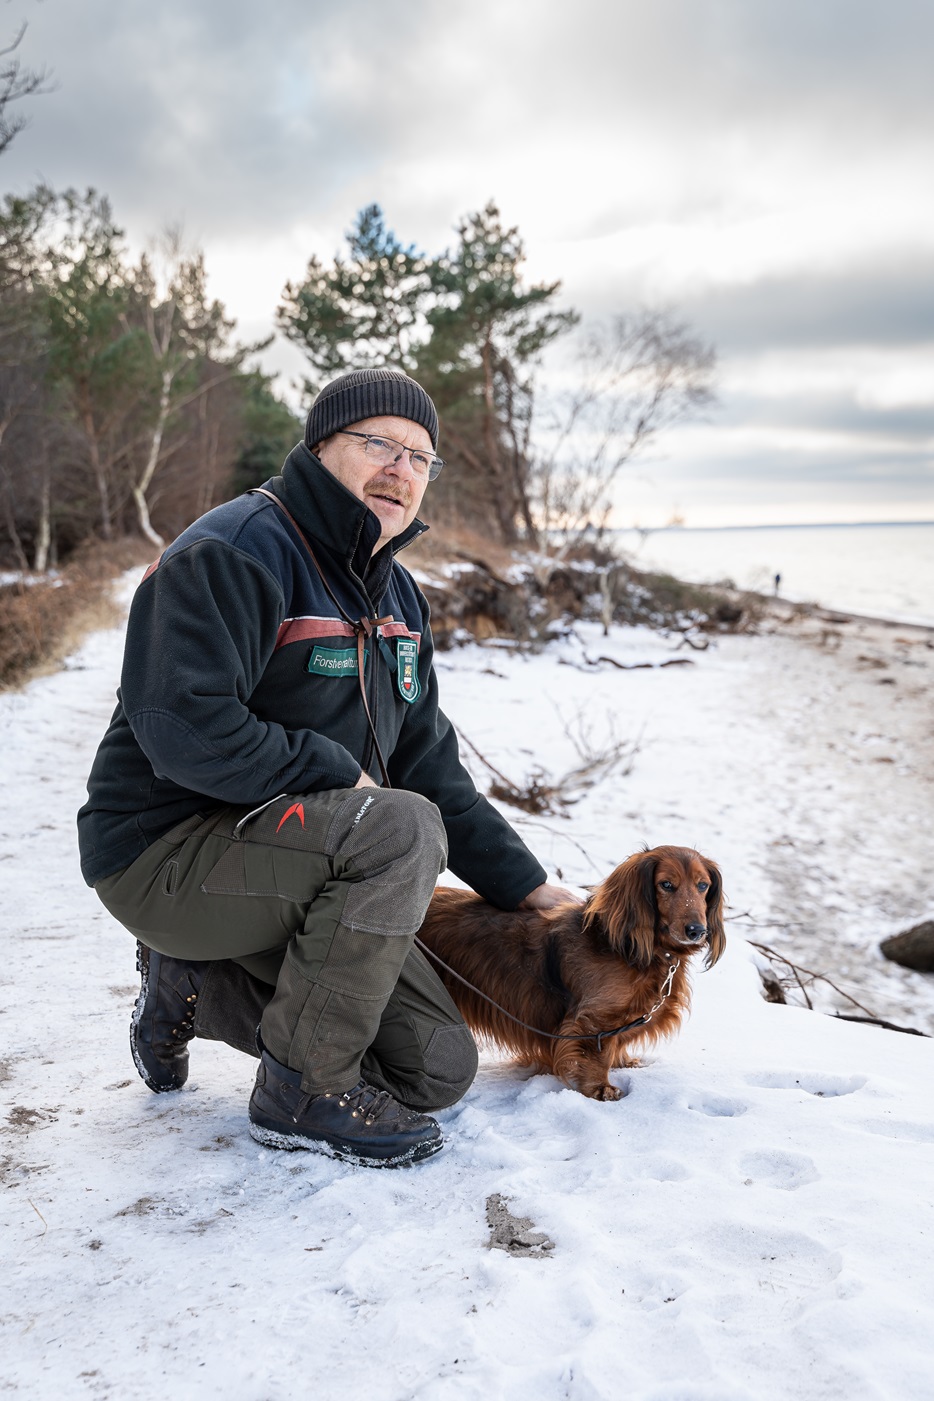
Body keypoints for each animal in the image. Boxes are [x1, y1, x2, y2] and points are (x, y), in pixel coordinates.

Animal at [417, 846, 728, 1098]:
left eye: (703, 885)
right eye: (666, 884)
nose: (697, 931)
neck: (634, 950)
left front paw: (624, 1061)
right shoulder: (594, 1021)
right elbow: (599, 1053)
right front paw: (601, 1088)